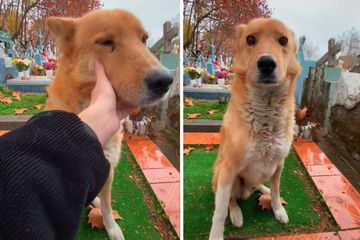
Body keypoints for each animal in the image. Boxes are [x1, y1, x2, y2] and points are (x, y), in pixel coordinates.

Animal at [44, 9, 174, 240]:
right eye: (105, 42)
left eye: (143, 39)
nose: (165, 81)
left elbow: (106, 207)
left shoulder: (108, 169)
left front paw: (111, 227)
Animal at [208, 18, 300, 240]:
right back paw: (236, 213)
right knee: (231, 200)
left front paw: (278, 209)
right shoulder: (228, 170)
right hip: (225, 177)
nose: (266, 63)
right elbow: (220, 210)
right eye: (250, 39)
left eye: (283, 40)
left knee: (262, 186)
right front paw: (216, 234)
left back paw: (263, 189)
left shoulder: (279, 164)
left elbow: (276, 192)